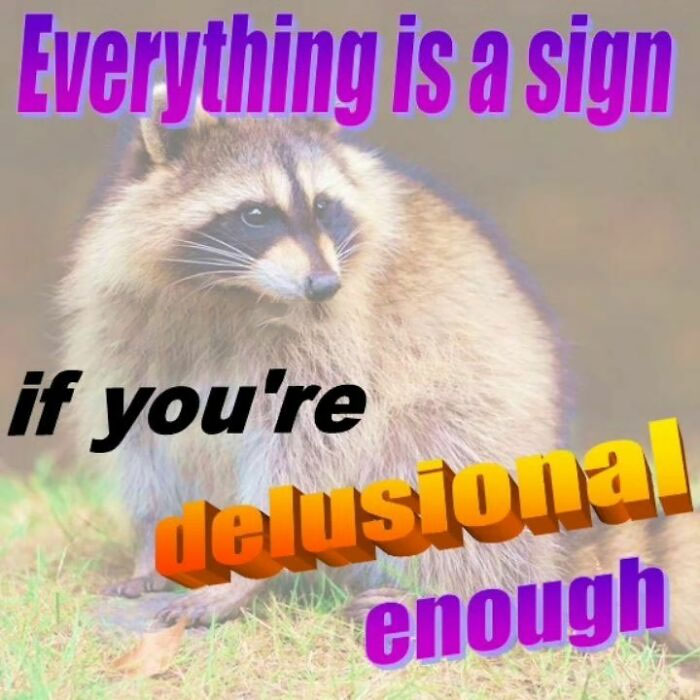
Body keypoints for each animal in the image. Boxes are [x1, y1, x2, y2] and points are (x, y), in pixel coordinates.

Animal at [61, 88, 699, 651]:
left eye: (323, 206)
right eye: (254, 215)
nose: (324, 284)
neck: (232, 289)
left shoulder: (338, 340)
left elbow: (309, 452)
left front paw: (251, 571)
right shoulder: (125, 326)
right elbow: (140, 440)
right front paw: (153, 542)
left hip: (474, 428)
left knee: (428, 451)